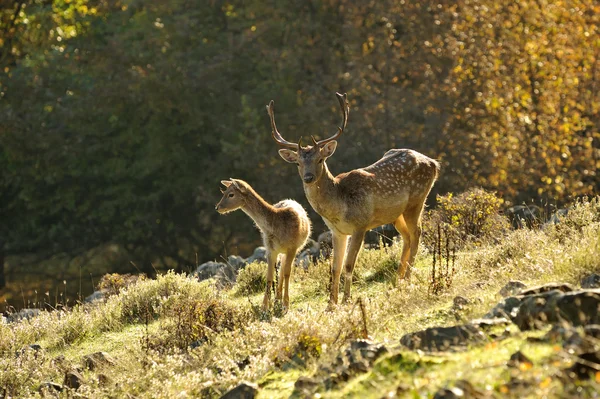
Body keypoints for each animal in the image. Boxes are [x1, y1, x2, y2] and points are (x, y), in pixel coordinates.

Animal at [216, 179, 312, 312]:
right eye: (224, 192)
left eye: (231, 194)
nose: (217, 207)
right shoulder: (270, 249)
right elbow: (269, 276)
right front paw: (265, 307)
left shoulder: (292, 247)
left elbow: (287, 273)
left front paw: (286, 305)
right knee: (280, 270)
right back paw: (277, 298)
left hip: (295, 248)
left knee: (284, 270)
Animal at [268, 94, 440, 306]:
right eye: (298, 163)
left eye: (320, 159)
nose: (308, 177)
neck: (339, 207)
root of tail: (434, 163)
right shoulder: (337, 231)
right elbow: (335, 268)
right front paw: (331, 304)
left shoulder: (360, 225)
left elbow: (349, 265)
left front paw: (346, 300)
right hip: (396, 214)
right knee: (407, 237)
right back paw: (398, 280)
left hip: (417, 201)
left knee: (417, 234)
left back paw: (407, 278)